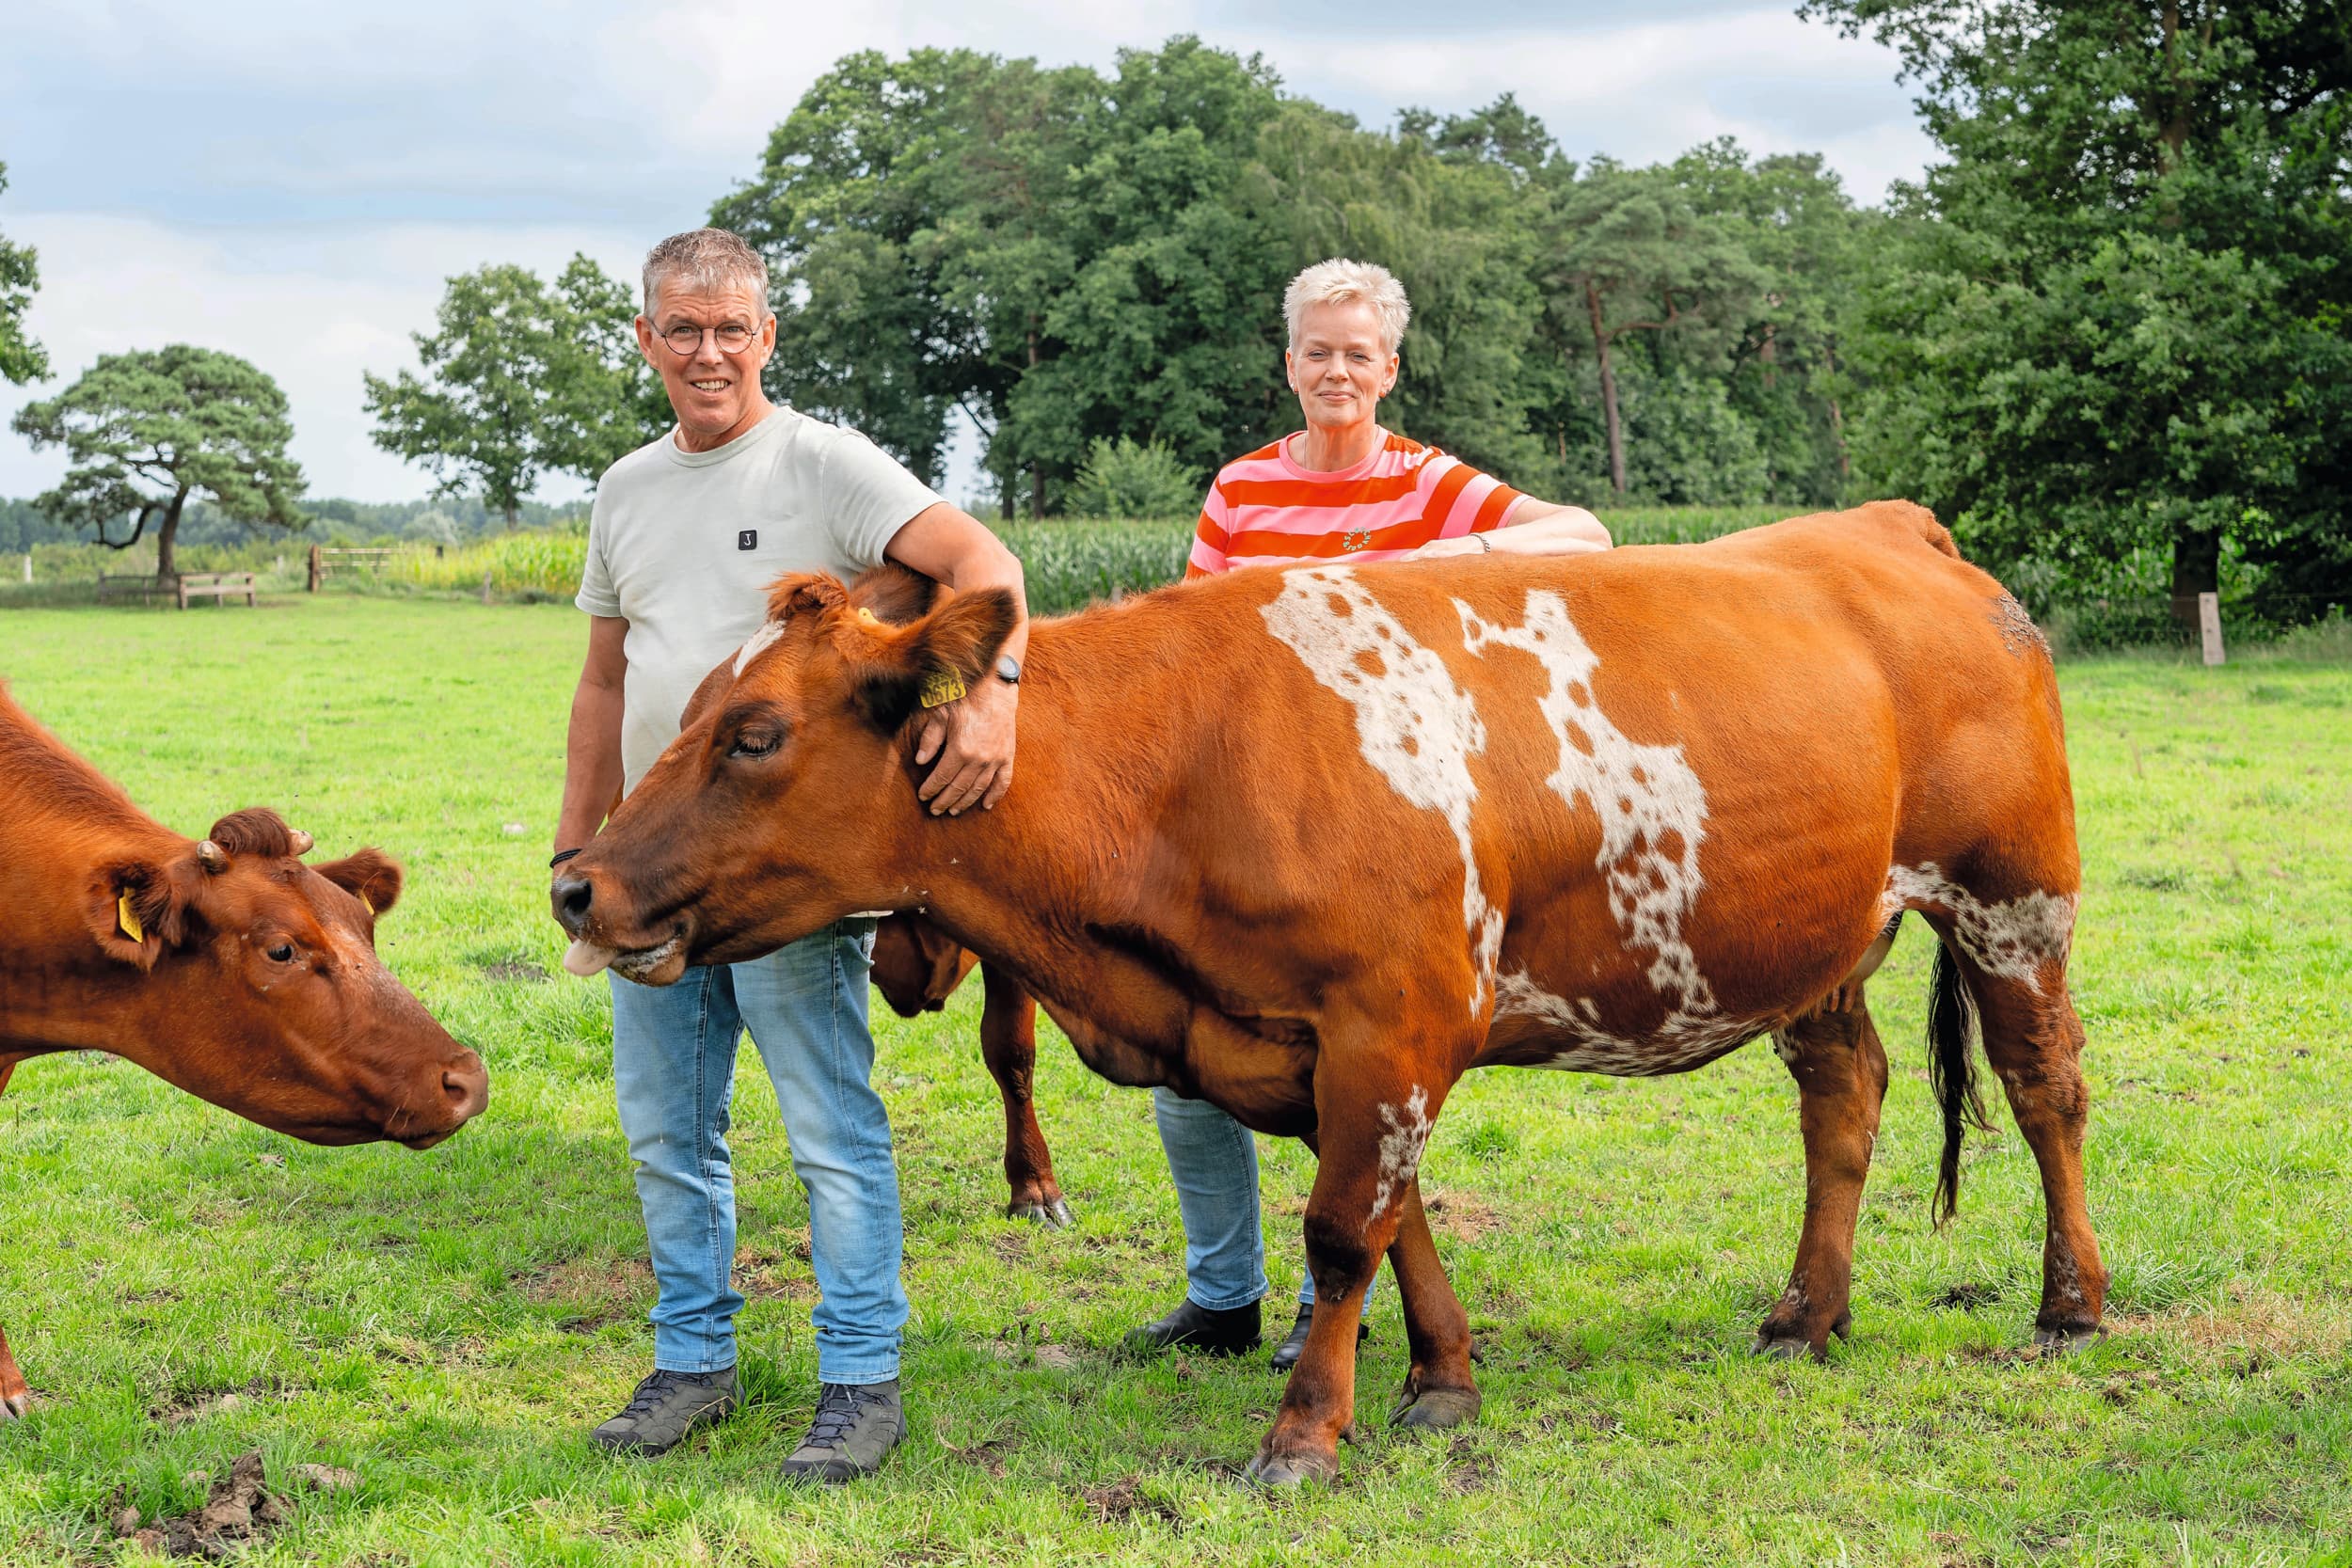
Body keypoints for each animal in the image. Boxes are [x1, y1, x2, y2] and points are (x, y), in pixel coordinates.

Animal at [549, 502, 2104, 1486]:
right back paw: (1805, 1310)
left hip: (2013, 897)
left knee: (2046, 1089)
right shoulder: (1313, 1046)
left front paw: (1303, 1433)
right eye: (689, 710)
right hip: (1805, 936)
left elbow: (1343, 1228)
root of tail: (1887, 526)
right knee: (1845, 1095)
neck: (1184, 764)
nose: (581, 885)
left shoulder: (1389, 1018)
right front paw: (1441, 1377)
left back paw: (2070, 1302)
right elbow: (1394, 1218)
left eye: (755, 732)